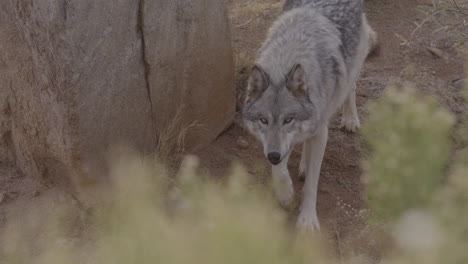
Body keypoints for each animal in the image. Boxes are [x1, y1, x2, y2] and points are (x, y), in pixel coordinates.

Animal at [241, 0, 376, 231]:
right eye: (263, 120)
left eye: (288, 119)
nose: (273, 156)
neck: (288, 58)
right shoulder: (277, 145)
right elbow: (279, 170)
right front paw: (285, 194)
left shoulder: (320, 133)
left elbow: (312, 184)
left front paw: (307, 220)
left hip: (353, 67)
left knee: (351, 87)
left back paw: (350, 118)